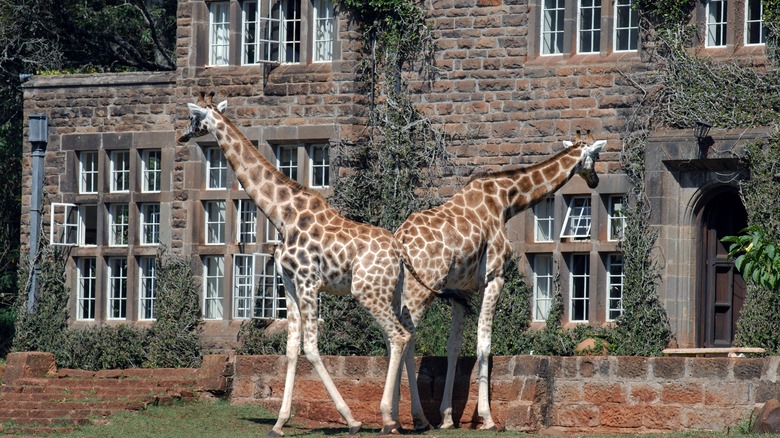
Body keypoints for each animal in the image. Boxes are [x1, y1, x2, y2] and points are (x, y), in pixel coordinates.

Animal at [180, 92, 418, 434]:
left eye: (193, 117)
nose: (182, 136)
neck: (282, 215)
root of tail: (399, 252)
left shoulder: (309, 282)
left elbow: (311, 348)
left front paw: (352, 420)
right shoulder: (290, 285)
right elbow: (292, 348)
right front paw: (279, 422)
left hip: (367, 291)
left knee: (398, 336)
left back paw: (386, 416)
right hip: (392, 292)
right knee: (403, 336)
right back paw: (404, 419)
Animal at [396, 132, 608, 430]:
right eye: (597, 156)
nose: (595, 180)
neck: (506, 200)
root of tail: (400, 239)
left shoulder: (461, 292)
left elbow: (454, 347)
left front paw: (447, 418)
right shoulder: (495, 276)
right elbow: (484, 345)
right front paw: (486, 418)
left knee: (401, 338)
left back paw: (405, 418)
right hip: (421, 289)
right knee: (402, 338)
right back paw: (411, 418)